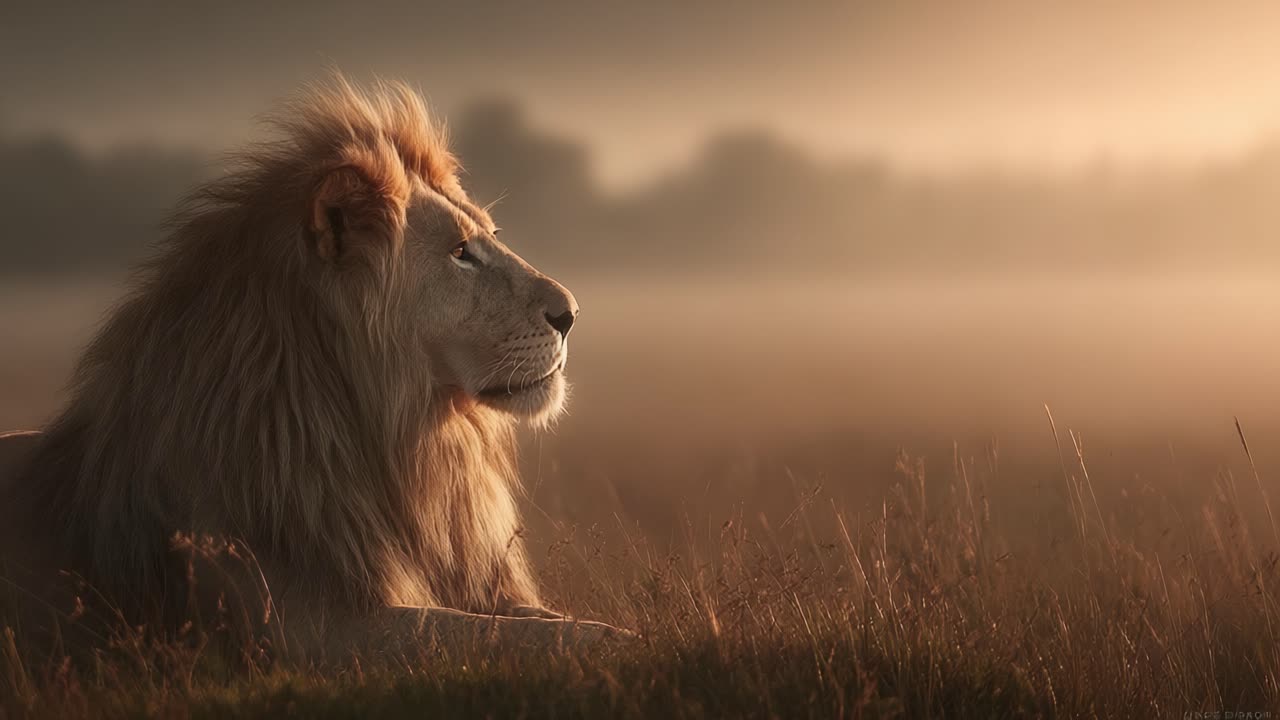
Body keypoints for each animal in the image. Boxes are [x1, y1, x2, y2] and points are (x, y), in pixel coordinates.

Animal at [0, 77, 624, 660]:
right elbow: (514, 636)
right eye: (460, 253)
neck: (407, 443)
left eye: (491, 237)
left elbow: (551, 622)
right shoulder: (311, 631)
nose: (571, 314)